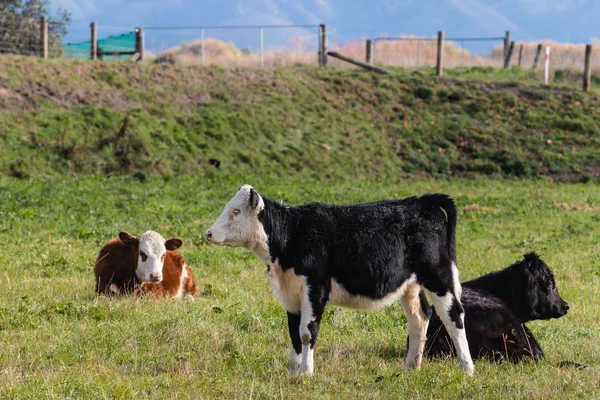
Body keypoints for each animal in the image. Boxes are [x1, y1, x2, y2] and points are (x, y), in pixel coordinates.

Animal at [206, 184, 474, 376]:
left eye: (236, 211)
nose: (208, 233)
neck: (294, 234)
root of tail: (421, 202)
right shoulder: (291, 293)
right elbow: (294, 333)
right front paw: (292, 373)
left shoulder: (316, 289)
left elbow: (307, 332)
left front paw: (307, 373)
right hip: (410, 285)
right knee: (420, 318)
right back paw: (411, 368)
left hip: (437, 275)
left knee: (453, 315)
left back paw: (467, 368)